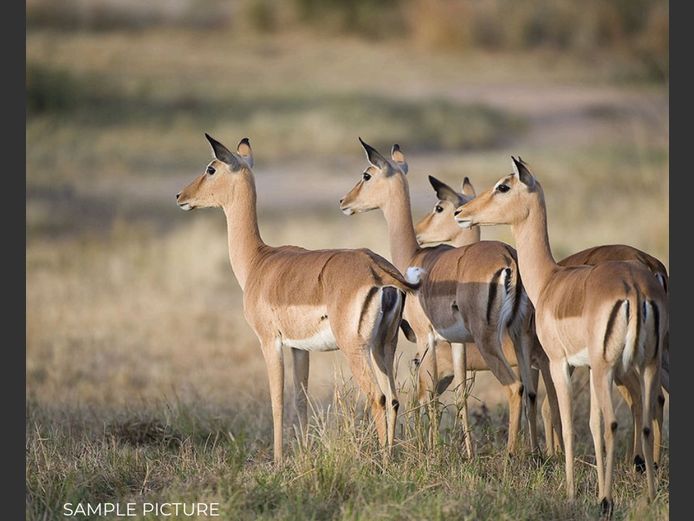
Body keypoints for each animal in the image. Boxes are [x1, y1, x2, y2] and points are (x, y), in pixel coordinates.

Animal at [176, 134, 422, 463]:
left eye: (211, 168)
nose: (181, 195)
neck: (258, 261)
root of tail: (377, 269)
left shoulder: (269, 341)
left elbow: (277, 401)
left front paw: (278, 461)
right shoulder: (299, 349)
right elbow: (301, 399)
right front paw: (303, 453)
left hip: (356, 348)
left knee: (378, 398)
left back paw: (381, 464)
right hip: (385, 345)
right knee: (394, 399)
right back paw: (390, 457)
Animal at [339, 139, 539, 457]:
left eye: (367, 175)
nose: (344, 201)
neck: (415, 257)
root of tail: (510, 260)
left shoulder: (426, 338)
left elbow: (429, 396)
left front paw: (430, 450)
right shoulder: (455, 341)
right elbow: (460, 396)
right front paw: (467, 453)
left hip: (489, 339)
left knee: (515, 387)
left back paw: (511, 457)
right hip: (520, 334)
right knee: (532, 392)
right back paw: (536, 454)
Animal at [454, 157, 667, 516]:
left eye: (503, 186)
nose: (461, 212)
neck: (550, 280)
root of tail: (635, 287)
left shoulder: (559, 364)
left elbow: (567, 423)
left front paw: (572, 492)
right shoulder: (587, 368)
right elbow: (589, 424)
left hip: (610, 368)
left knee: (613, 421)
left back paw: (608, 501)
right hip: (645, 364)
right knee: (649, 414)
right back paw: (648, 496)